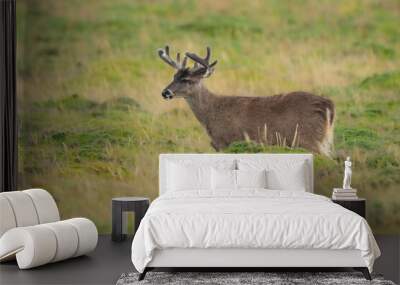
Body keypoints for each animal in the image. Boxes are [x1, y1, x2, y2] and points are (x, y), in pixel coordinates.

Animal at [156, 45, 334, 156]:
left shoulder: (226, 142)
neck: (211, 113)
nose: (165, 92)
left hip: (309, 139)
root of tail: (327, 105)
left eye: (187, 80)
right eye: (174, 76)